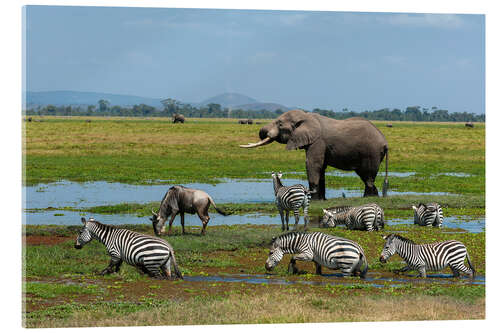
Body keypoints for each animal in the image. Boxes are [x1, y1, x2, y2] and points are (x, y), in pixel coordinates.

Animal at [240, 109, 388, 198]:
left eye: (280, 124)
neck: (306, 116)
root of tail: (385, 142)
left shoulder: (318, 141)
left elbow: (312, 164)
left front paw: (315, 199)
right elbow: (320, 167)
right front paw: (321, 200)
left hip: (371, 153)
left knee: (368, 177)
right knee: (366, 176)